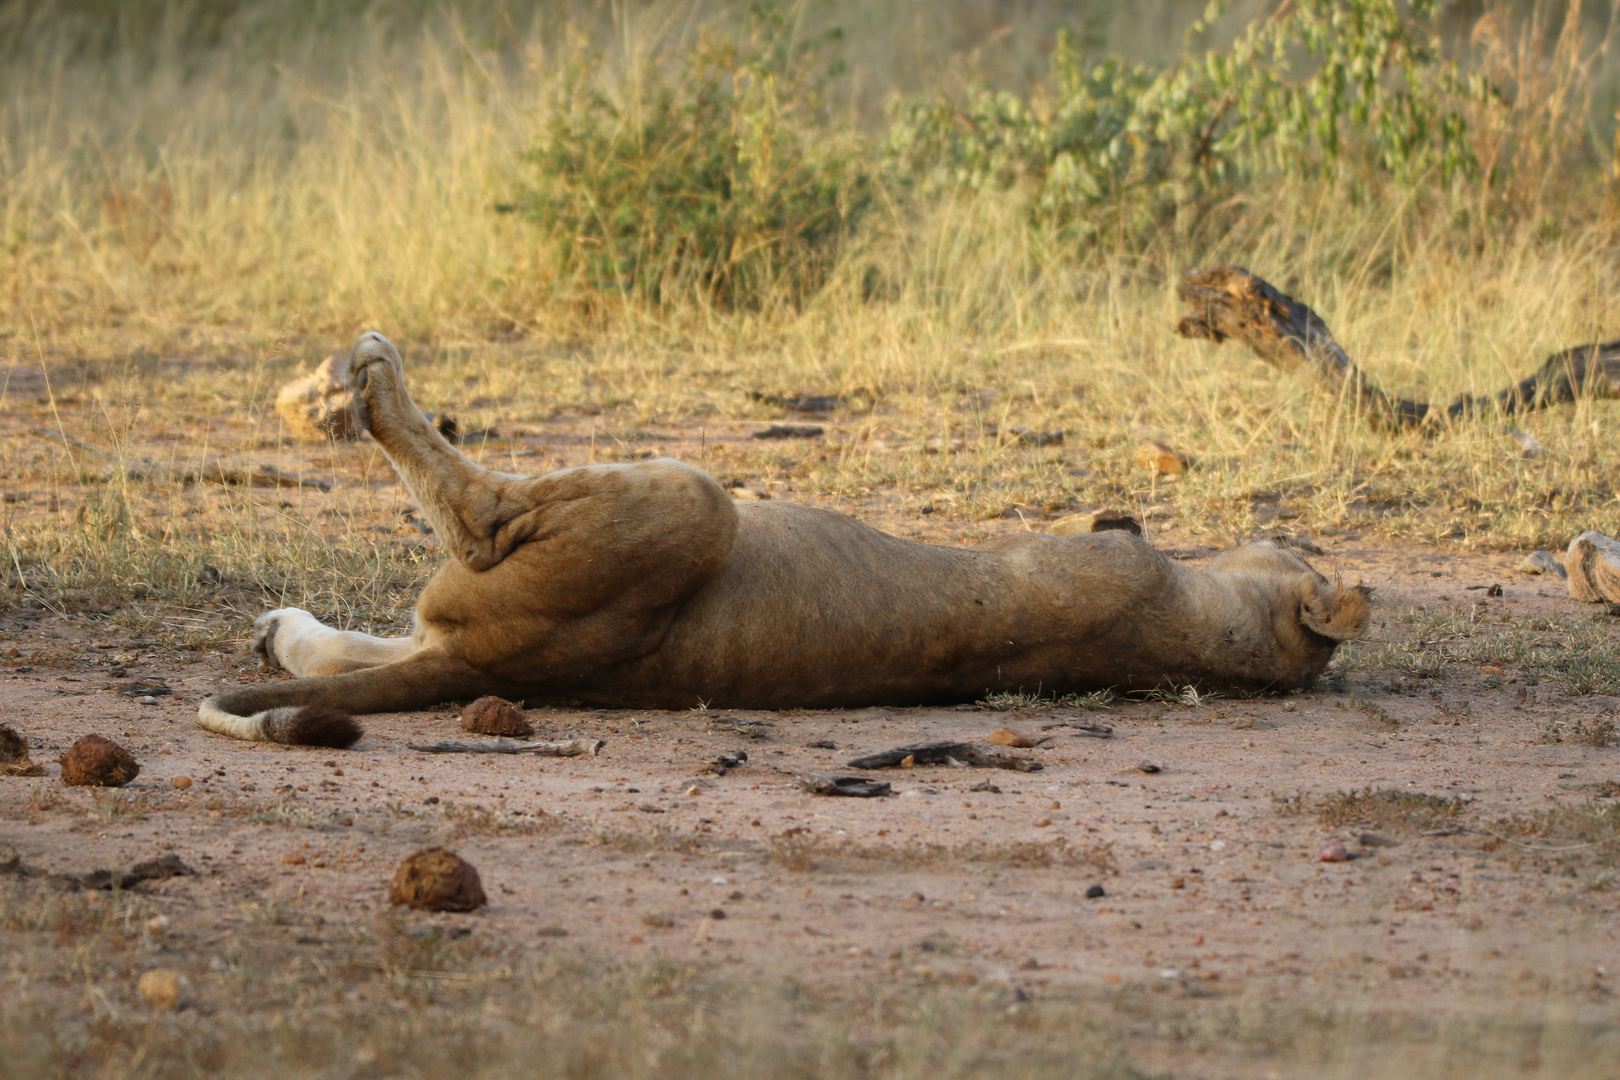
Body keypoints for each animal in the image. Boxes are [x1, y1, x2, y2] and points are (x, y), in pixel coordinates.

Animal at [196, 333, 1373, 748]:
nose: (1280, 528)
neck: (1200, 621)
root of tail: (503, 664)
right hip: (492, 615)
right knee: (372, 647)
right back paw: (272, 630)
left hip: (691, 495)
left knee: (477, 515)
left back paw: (363, 382)